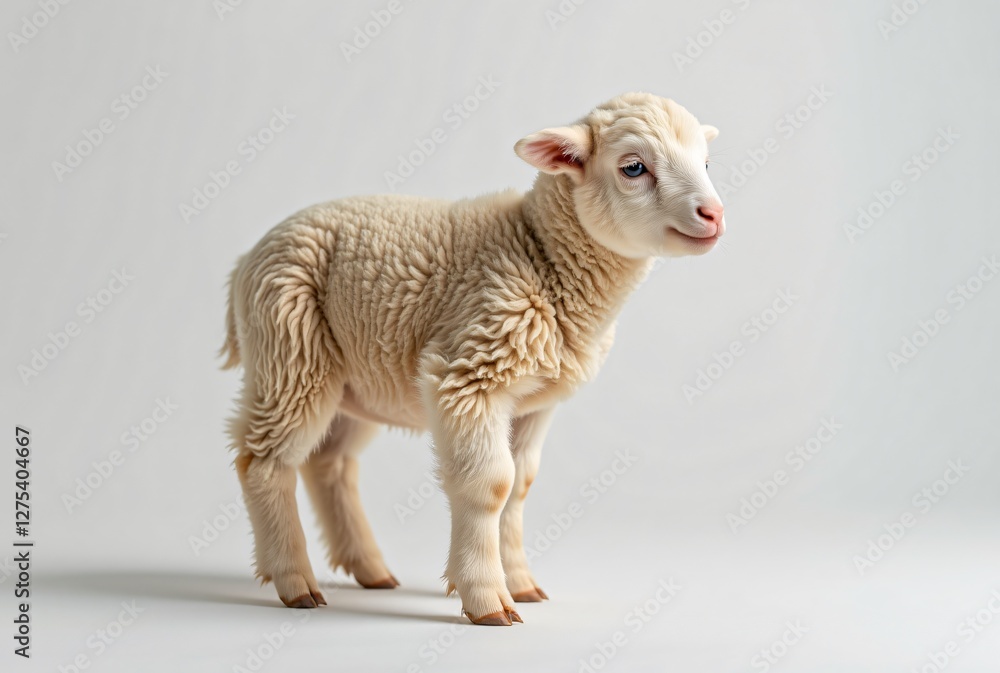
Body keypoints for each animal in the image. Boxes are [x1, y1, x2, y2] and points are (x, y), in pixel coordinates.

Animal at [222, 92, 725, 626]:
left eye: (706, 163)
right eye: (633, 167)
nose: (714, 214)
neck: (541, 253)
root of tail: (245, 262)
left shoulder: (534, 403)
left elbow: (520, 486)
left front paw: (521, 583)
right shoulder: (467, 374)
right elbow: (491, 486)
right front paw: (487, 599)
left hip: (356, 378)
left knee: (329, 463)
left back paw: (370, 569)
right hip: (289, 346)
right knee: (264, 461)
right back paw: (295, 581)